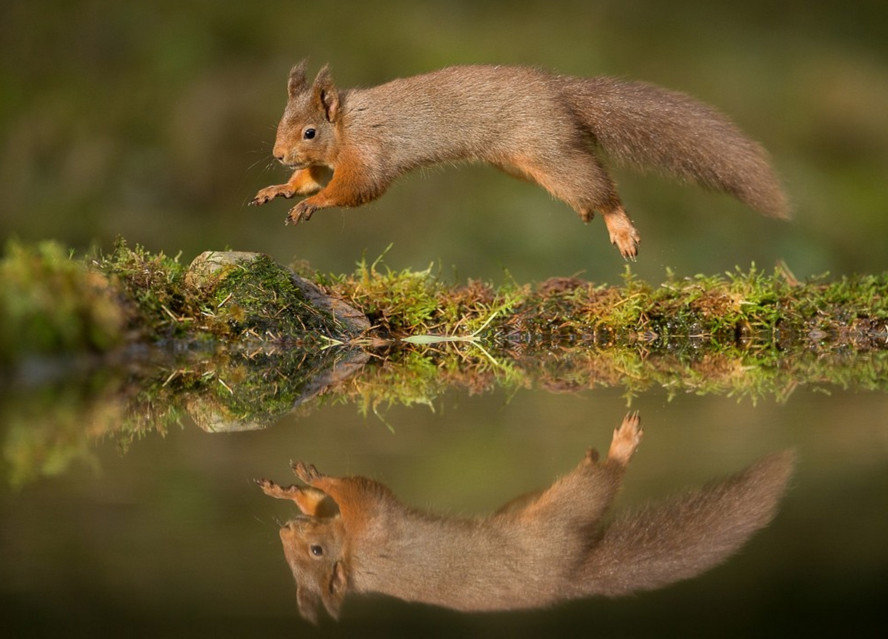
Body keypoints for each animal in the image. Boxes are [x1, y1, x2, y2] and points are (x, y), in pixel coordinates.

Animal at [250, 61, 788, 259]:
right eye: (280, 121)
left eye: (309, 131)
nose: (277, 155)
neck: (347, 125)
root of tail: (559, 91)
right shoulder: (332, 159)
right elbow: (312, 177)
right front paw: (282, 189)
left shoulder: (368, 154)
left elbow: (355, 188)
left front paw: (313, 205)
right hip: (525, 160)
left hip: (545, 148)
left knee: (599, 185)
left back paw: (619, 226)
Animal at [255, 413, 794, 622]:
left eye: (316, 553)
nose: (283, 532)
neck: (353, 552)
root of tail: (569, 578)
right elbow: (335, 499)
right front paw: (294, 492)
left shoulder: (373, 518)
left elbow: (349, 489)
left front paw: (307, 484)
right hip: (547, 507)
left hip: (555, 511)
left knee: (596, 481)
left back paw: (616, 446)